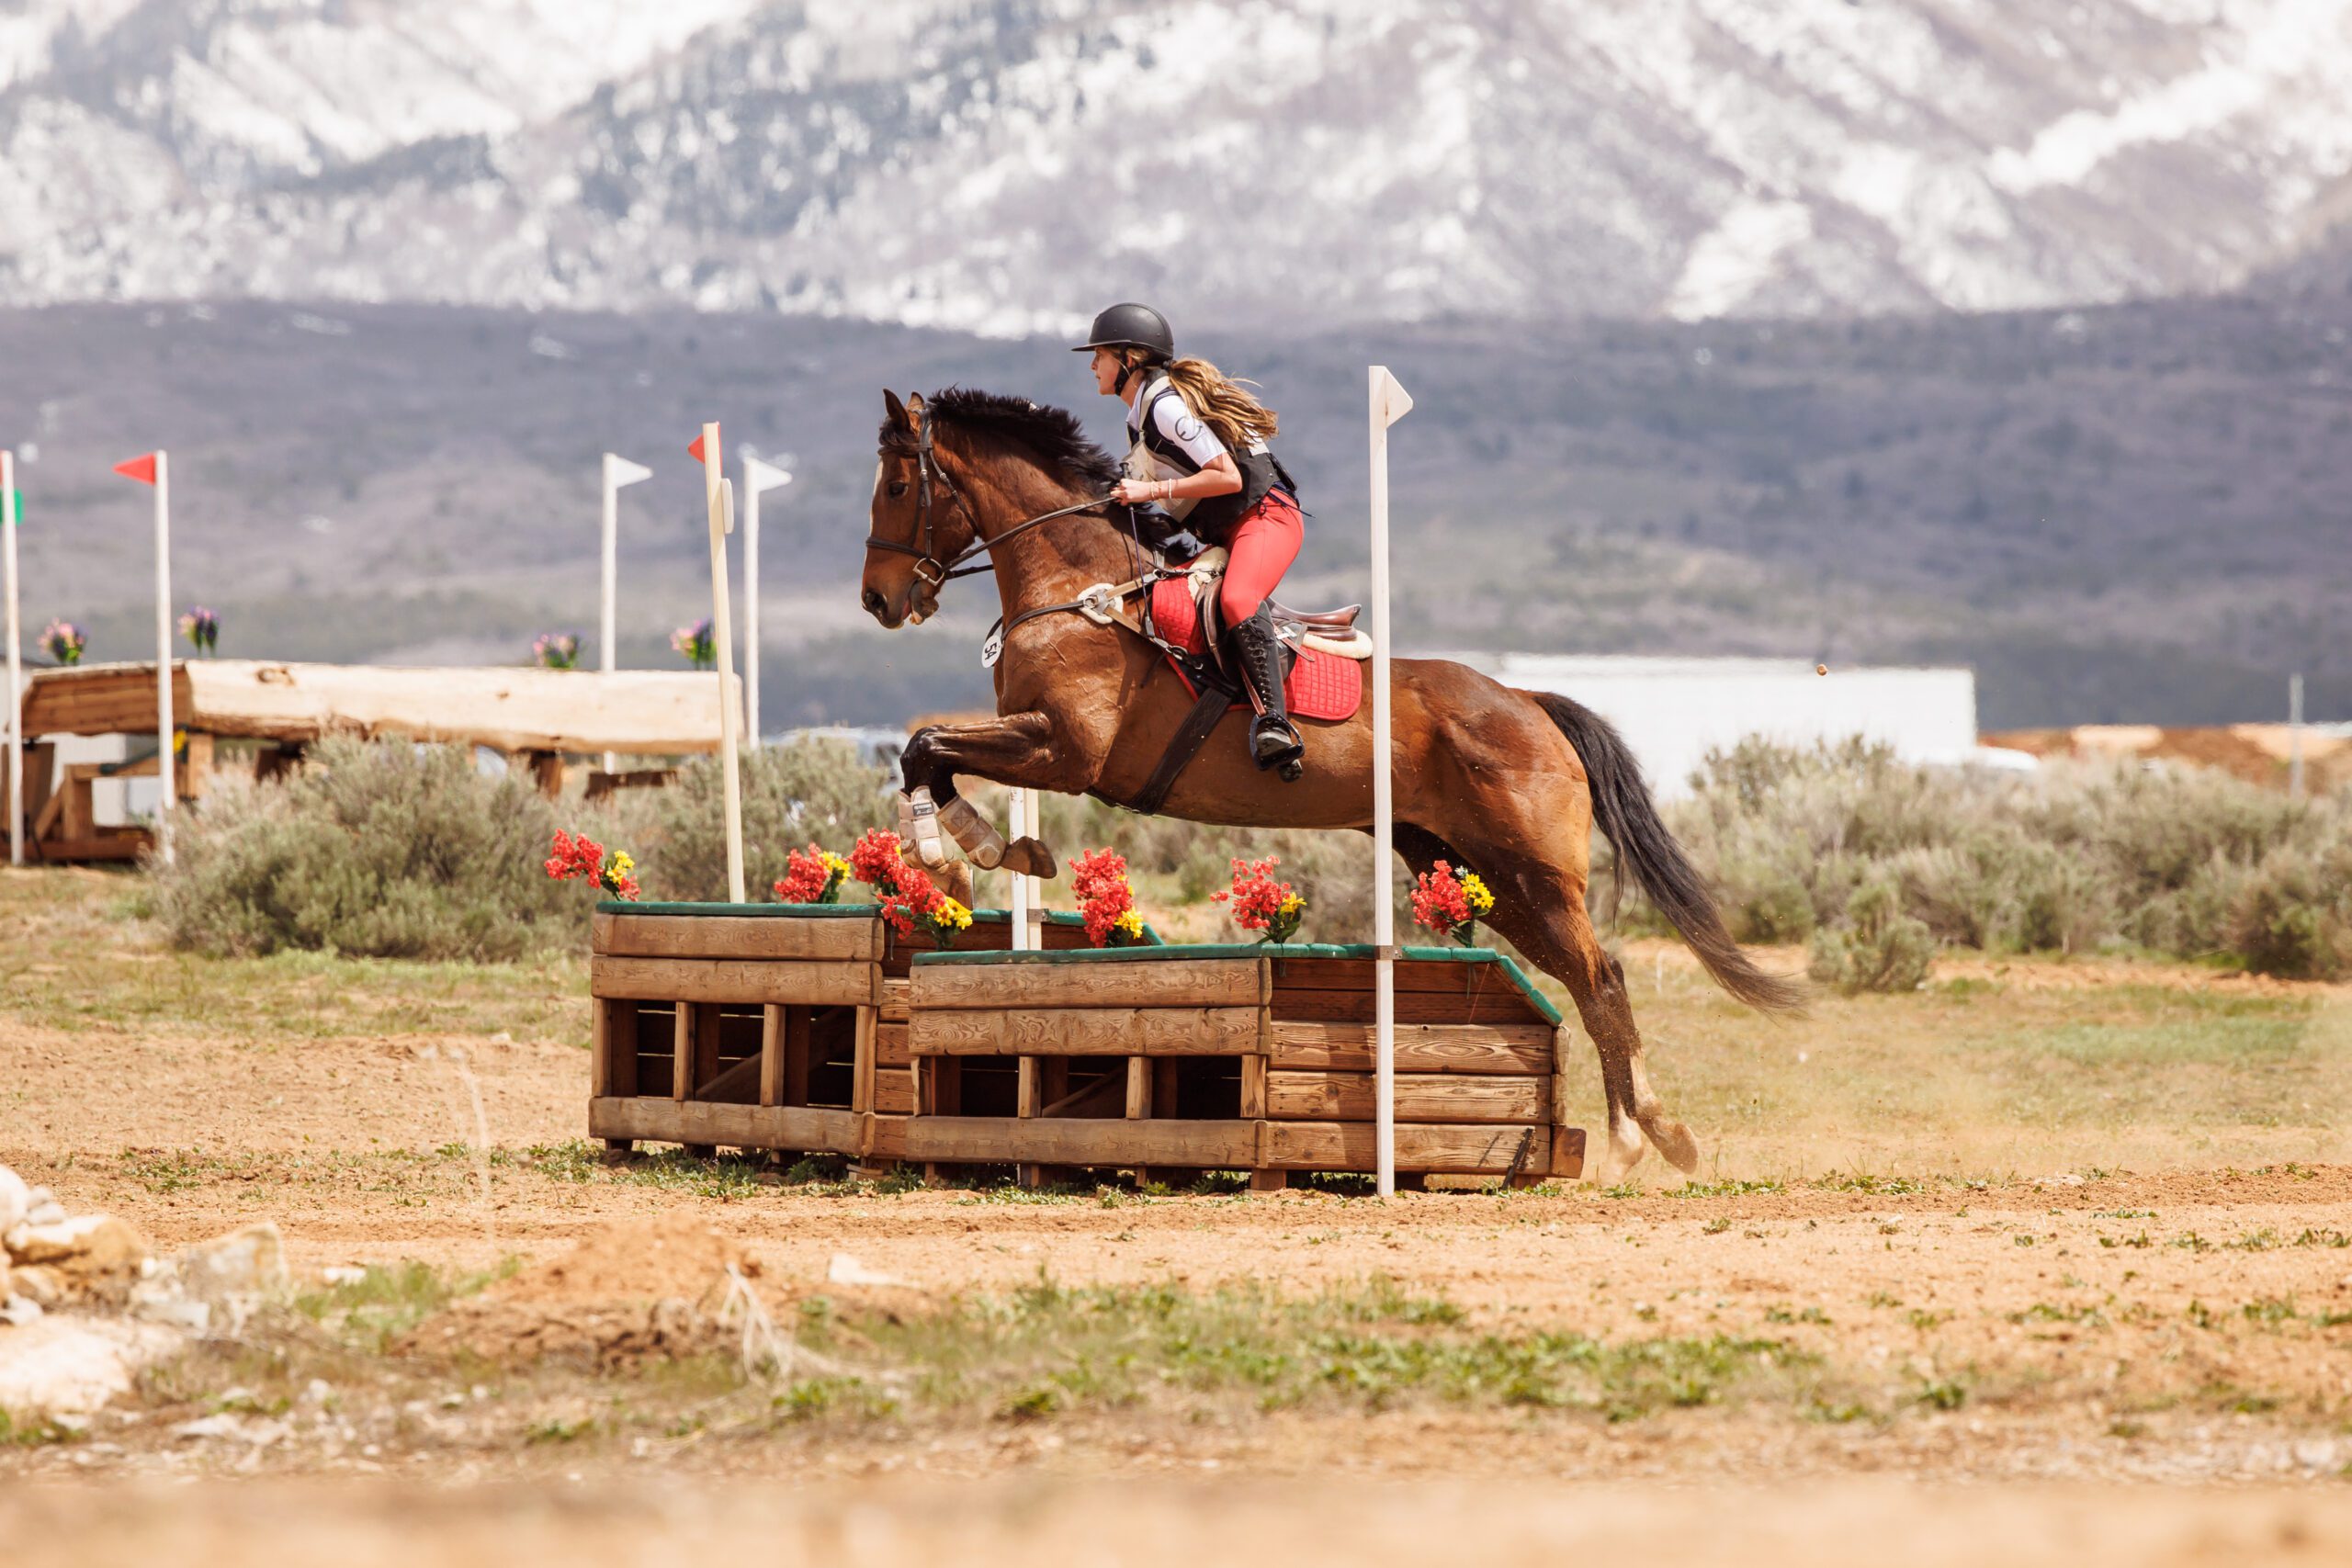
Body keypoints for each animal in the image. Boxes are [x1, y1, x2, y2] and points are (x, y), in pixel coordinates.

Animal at [865, 389, 1796, 1175]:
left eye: (899, 485)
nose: (878, 601)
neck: (1081, 585)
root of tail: (1527, 700)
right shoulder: (1041, 745)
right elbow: (927, 753)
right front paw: (988, 854)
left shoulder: (1066, 752)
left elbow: (924, 746)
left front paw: (960, 857)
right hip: (1481, 871)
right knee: (1585, 975)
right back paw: (1653, 1129)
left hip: (1535, 867)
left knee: (1600, 976)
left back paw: (1639, 1137)